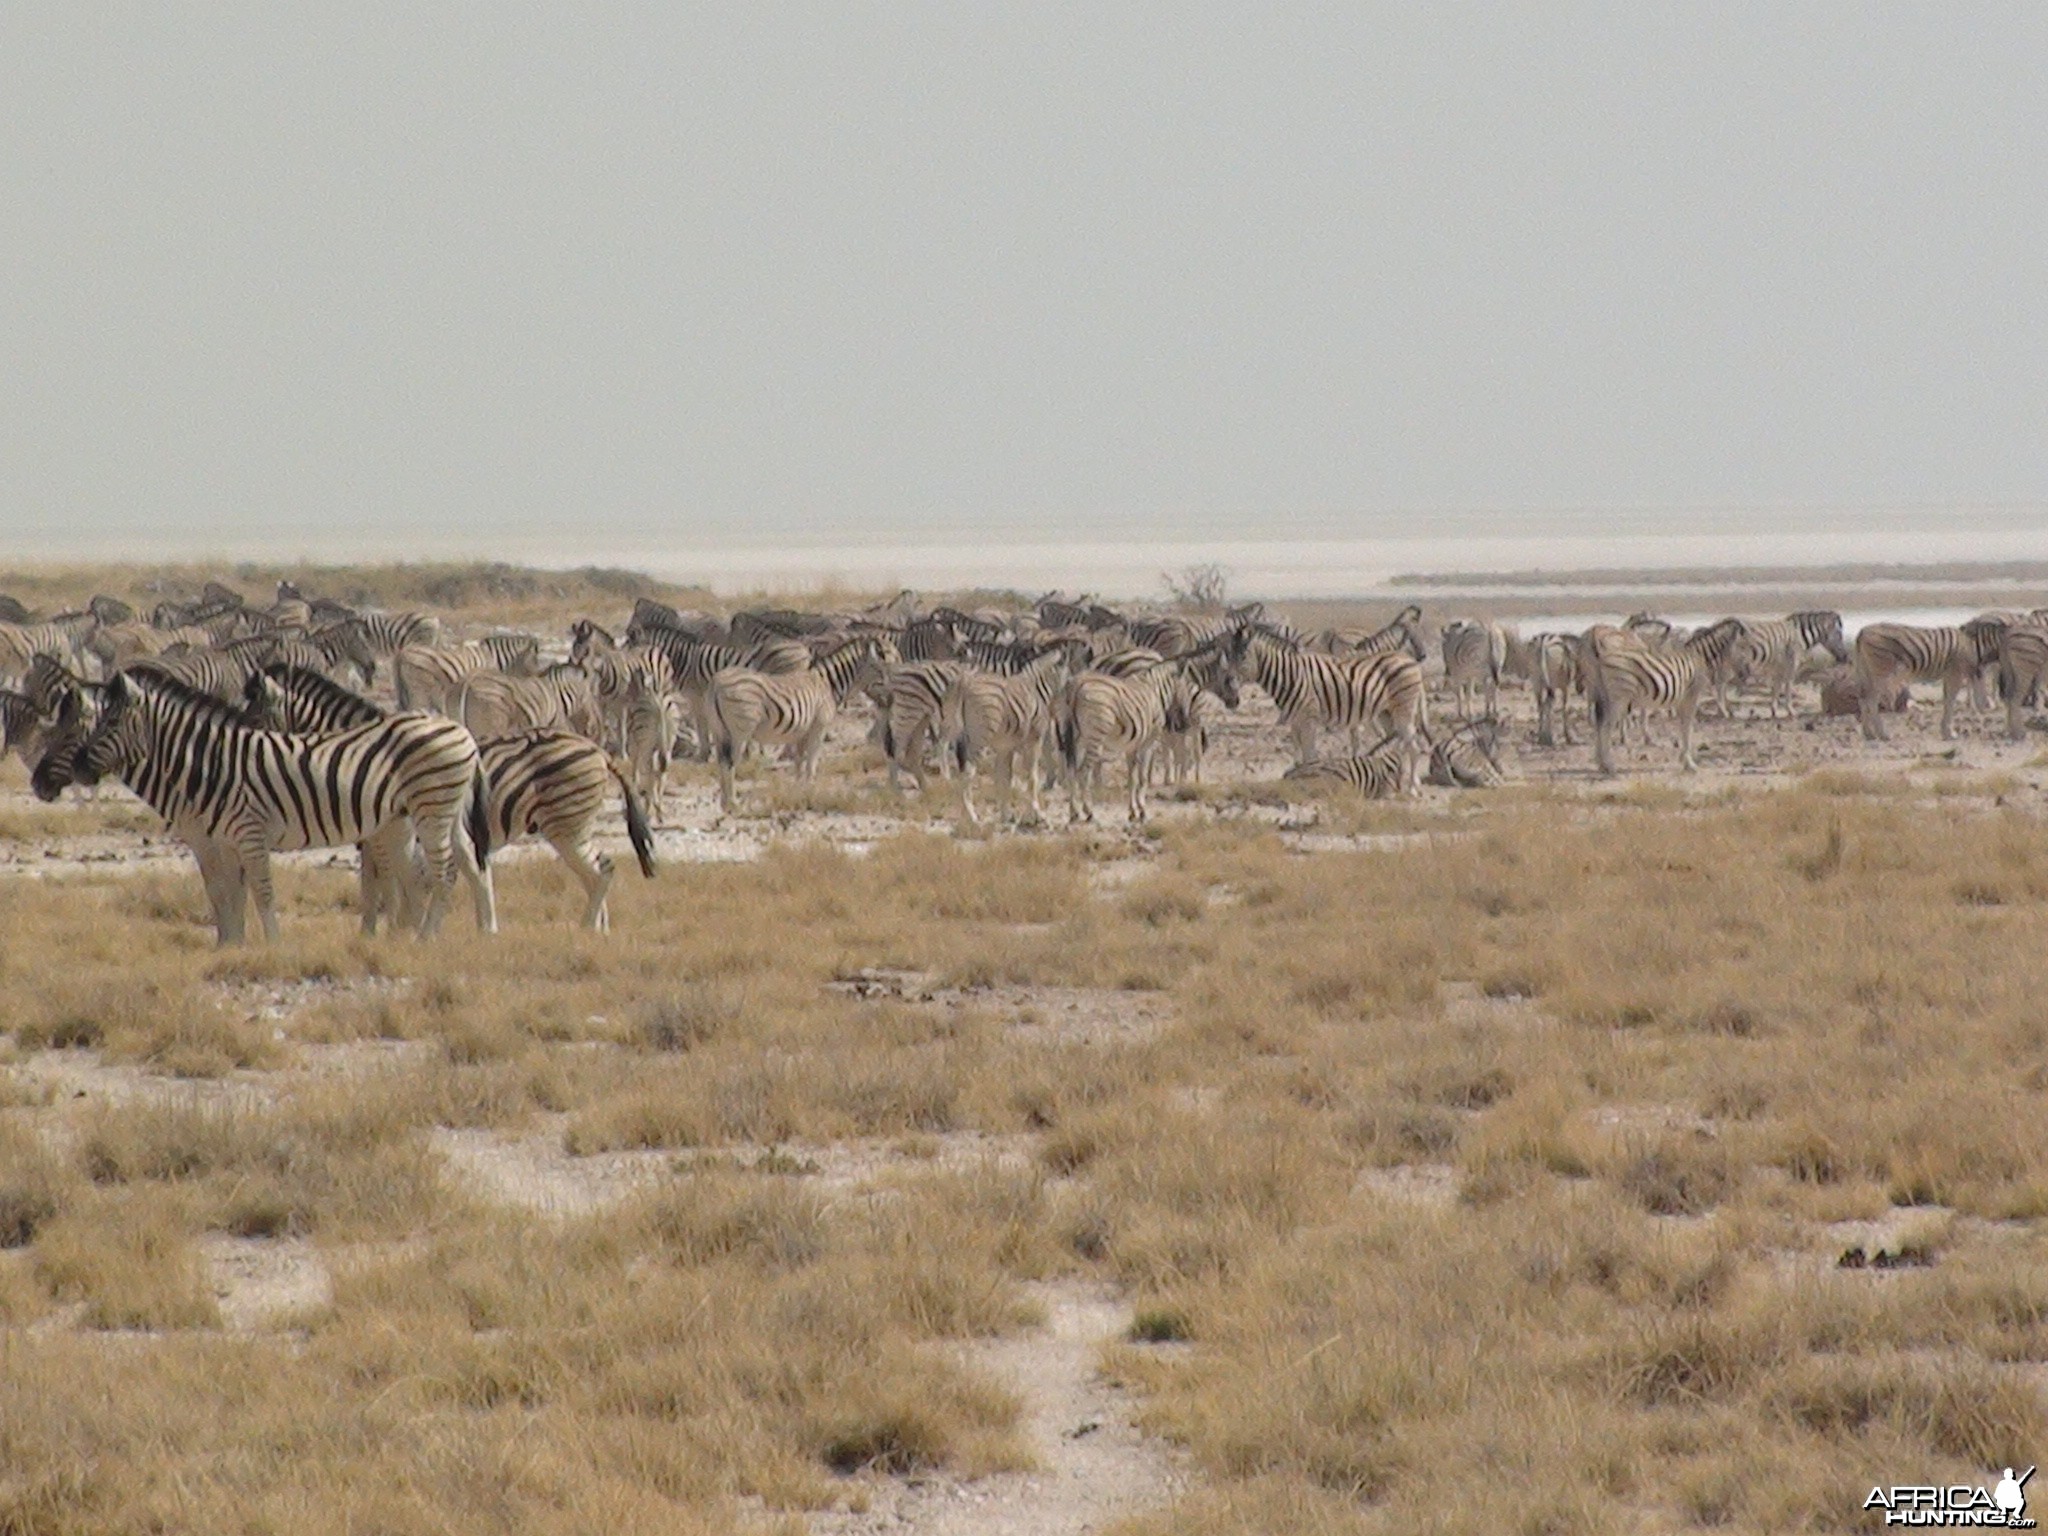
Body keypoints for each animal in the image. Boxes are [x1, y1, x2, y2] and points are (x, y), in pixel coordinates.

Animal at [37, 671, 493, 950]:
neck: (207, 765)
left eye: (104, 726)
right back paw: (476, 931)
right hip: (436, 813)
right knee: (467, 864)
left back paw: (425, 937)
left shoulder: (246, 834)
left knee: (443, 871)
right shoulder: (217, 840)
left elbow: (261, 891)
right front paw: (229, 946)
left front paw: (272, 945)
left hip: (429, 811)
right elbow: (224, 892)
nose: (43, 781)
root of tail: (462, 731)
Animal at [1228, 622, 1425, 782]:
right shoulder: (1295, 720)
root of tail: (1409, 660)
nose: (1230, 687)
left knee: (1413, 747)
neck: (1290, 674)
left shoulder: (1308, 718)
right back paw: (1397, 778)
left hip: (1405, 709)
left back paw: (1413, 787)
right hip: (1387, 712)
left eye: (1243, 657)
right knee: (1398, 743)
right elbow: (1299, 755)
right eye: (1229, 656)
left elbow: (1310, 756)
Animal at [1581, 618, 1744, 774]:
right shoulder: (1691, 695)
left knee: (1599, 722)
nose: (1741, 675)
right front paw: (1689, 763)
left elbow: (1683, 725)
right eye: (1744, 647)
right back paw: (1609, 765)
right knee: (1606, 724)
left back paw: (1601, 763)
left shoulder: (1681, 699)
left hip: (1599, 690)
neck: (1699, 657)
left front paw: (1684, 759)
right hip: (1619, 697)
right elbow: (1687, 727)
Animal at [1851, 622, 2007, 749]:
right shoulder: (1955, 673)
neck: (1974, 645)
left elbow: (1976, 699)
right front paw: (1949, 733)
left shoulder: (1969, 673)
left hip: (1866, 671)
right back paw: (1883, 734)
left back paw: (1869, 734)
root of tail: (1862, 631)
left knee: (1863, 698)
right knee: (1871, 700)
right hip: (1881, 671)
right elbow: (1951, 701)